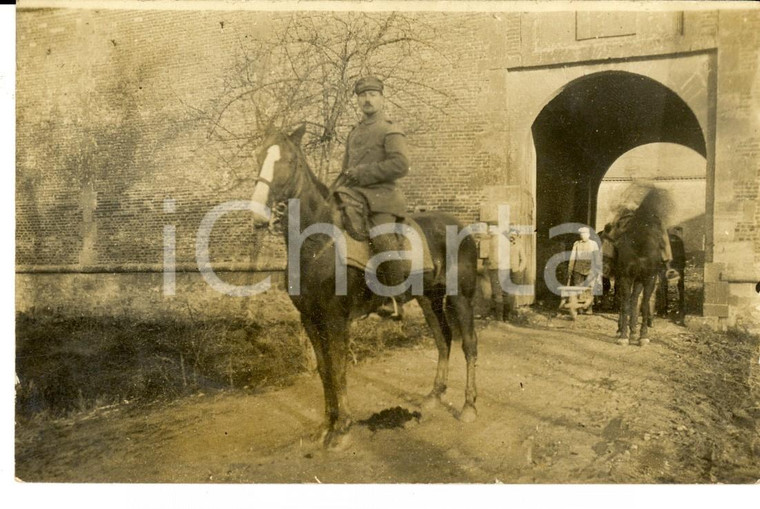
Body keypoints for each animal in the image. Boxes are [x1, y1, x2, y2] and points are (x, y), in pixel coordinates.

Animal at [249, 126, 478, 444]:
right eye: (260, 156)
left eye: (290, 161)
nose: (257, 215)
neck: (317, 243)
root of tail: (462, 228)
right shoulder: (310, 319)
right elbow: (324, 370)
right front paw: (326, 424)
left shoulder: (335, 320)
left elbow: (338, 369)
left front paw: (342, 428)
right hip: (429, 299)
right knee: (442, 339)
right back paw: (434, 395)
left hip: (461, 298)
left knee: (468, 344)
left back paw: (469, 406)